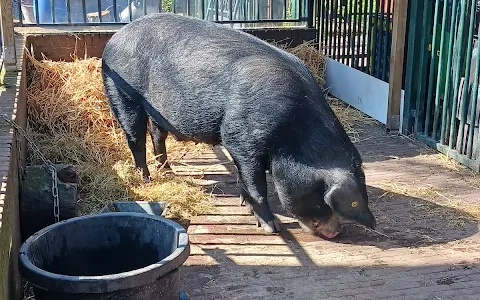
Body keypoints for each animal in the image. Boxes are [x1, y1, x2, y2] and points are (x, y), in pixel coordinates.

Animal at [103, 12, 376, 237]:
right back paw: (147, 179)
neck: (292, 132)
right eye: (322, 196)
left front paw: (245, 204)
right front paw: (272, 227)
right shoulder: (240, 137)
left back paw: (168, 171)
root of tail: (114, 39)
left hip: (157, 111)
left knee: (156, 135)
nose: (338, 231)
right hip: (122, 95)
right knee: (135, 138)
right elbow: (256, 185)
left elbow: (246, 180)